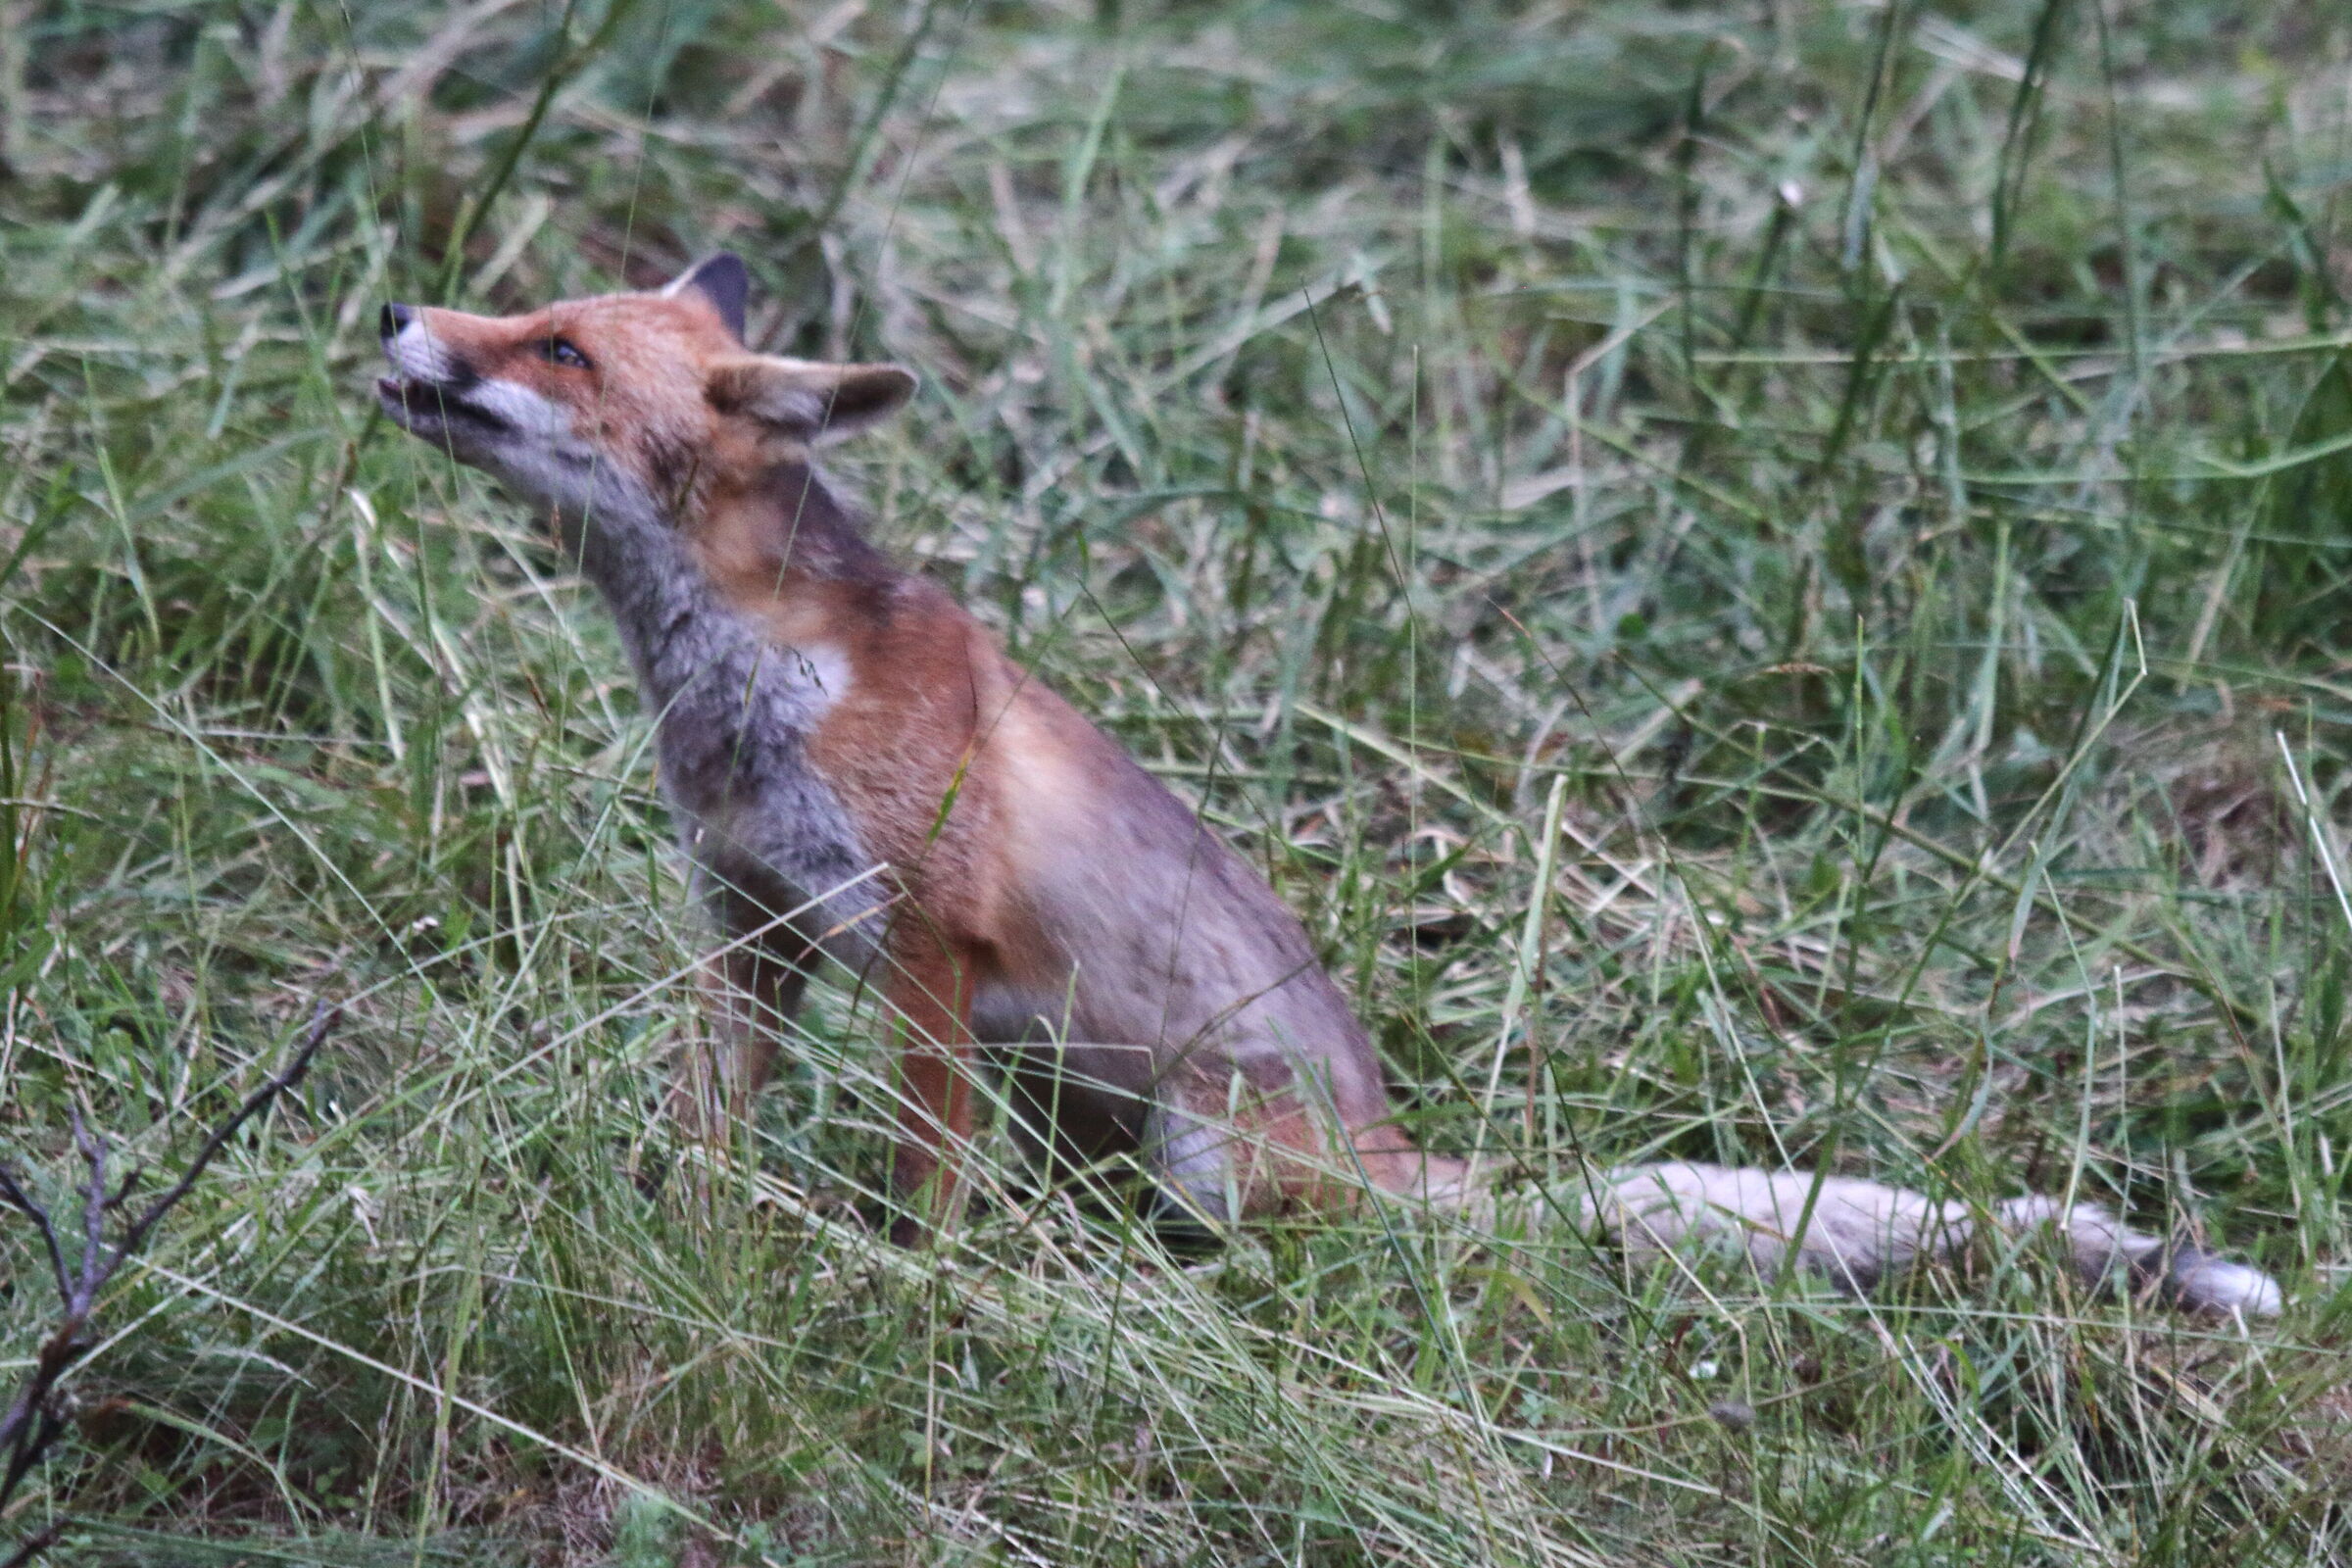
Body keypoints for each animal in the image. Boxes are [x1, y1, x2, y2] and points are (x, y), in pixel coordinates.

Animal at [373, 253, 2283, 1317]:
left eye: (556, 347)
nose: (400, 312)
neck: (752, 685)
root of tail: (1404, 1150)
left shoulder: (923, 939)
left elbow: (920, 1183)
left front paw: (898, 1289)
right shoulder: (750, 917)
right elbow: (708, 1125)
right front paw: (687, 1236)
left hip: (1208, 1151)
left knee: (1330, 1253)